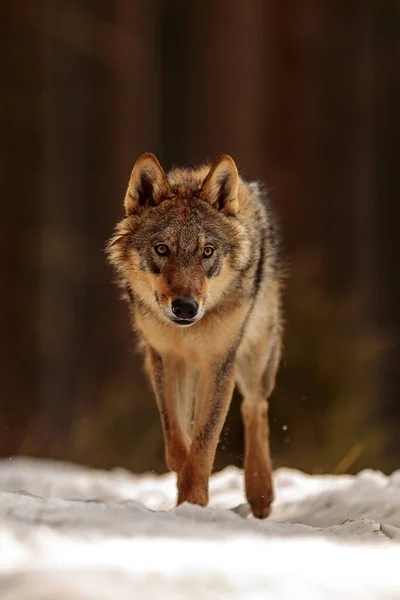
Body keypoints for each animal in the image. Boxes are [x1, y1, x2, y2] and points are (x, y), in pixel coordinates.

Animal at [106, 152, 282, 516]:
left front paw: (193, 502)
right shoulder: (165, 358)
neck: (188, 331)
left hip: (254, 358)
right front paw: (183, 483)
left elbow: (204, 444)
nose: (186, 308)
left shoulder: (219, 363)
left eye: (207, 251)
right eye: (162, 249)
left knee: (254, 406)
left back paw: (260, 493)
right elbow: (177, 441)